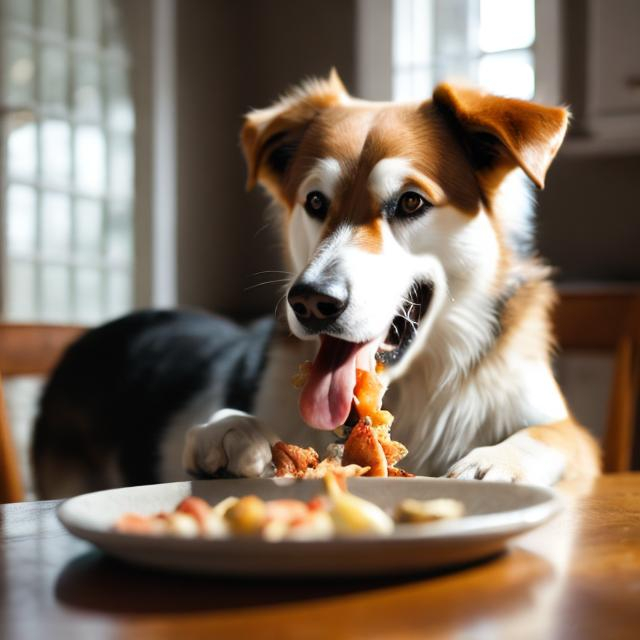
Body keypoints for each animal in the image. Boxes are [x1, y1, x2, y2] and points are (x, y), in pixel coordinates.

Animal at [31, 71, 600, 500]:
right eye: (315, 202)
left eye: (411, 202)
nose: (310, 302)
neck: (413, 388)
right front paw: (231, 431)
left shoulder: (571, 435)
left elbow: (550, 434)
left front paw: (495, 461)